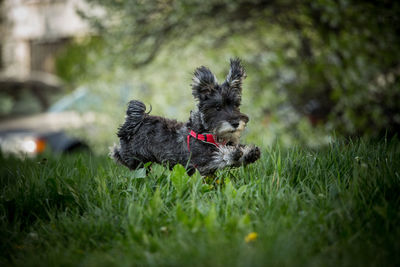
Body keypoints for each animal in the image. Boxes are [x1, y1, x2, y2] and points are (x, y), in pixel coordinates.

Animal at [111, 58, 260, 176]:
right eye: (218, 107)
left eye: (235, 105)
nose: (235, 123)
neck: (206, 133)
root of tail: (133, 124)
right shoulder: (200, 162)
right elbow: (218, 156)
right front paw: (232, 153)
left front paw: (249, 152)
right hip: (136, 160)